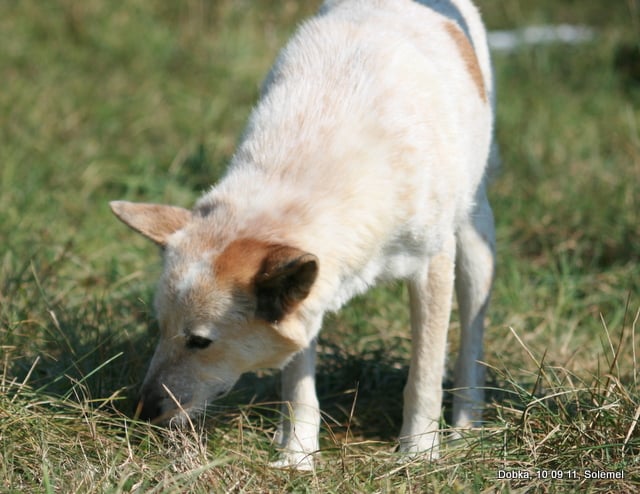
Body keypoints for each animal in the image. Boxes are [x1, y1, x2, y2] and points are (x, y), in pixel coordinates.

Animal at [111, 0, 496, 470]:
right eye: (160, 328)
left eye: (200, 341)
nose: (141, 410)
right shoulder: (309, 293)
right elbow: (298, 388)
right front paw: (297, 457)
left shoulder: (431, 266)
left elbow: (424, 375)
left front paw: (418, 454)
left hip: (474, 244)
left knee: (470, 340)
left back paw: (465, 425)